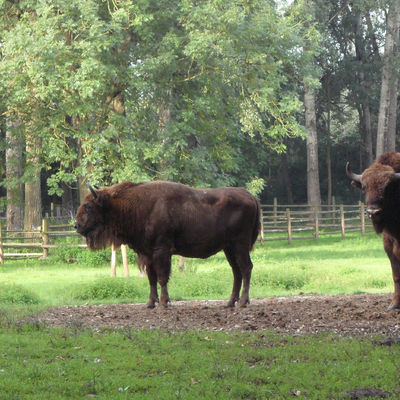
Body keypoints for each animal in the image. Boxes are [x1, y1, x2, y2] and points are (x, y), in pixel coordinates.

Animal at [75, 181, 260, 310]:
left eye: (88, 206)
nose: (77, 225)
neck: (138, 205)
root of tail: (250, 196)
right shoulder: (147, 254)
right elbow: (151, 279)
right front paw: (150, 303)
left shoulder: (161, 251)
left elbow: (162, 277)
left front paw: (164, 303)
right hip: (229, 248)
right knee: (236, 271)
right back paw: (230, 303)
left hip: (240, 245)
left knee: (246, 268)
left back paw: (243, 302)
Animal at [344, 152, 400, 310]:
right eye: (364, 187)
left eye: (388, 187)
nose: (373, 212)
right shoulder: (390, 249)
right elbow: (396, 276)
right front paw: (394, 305)